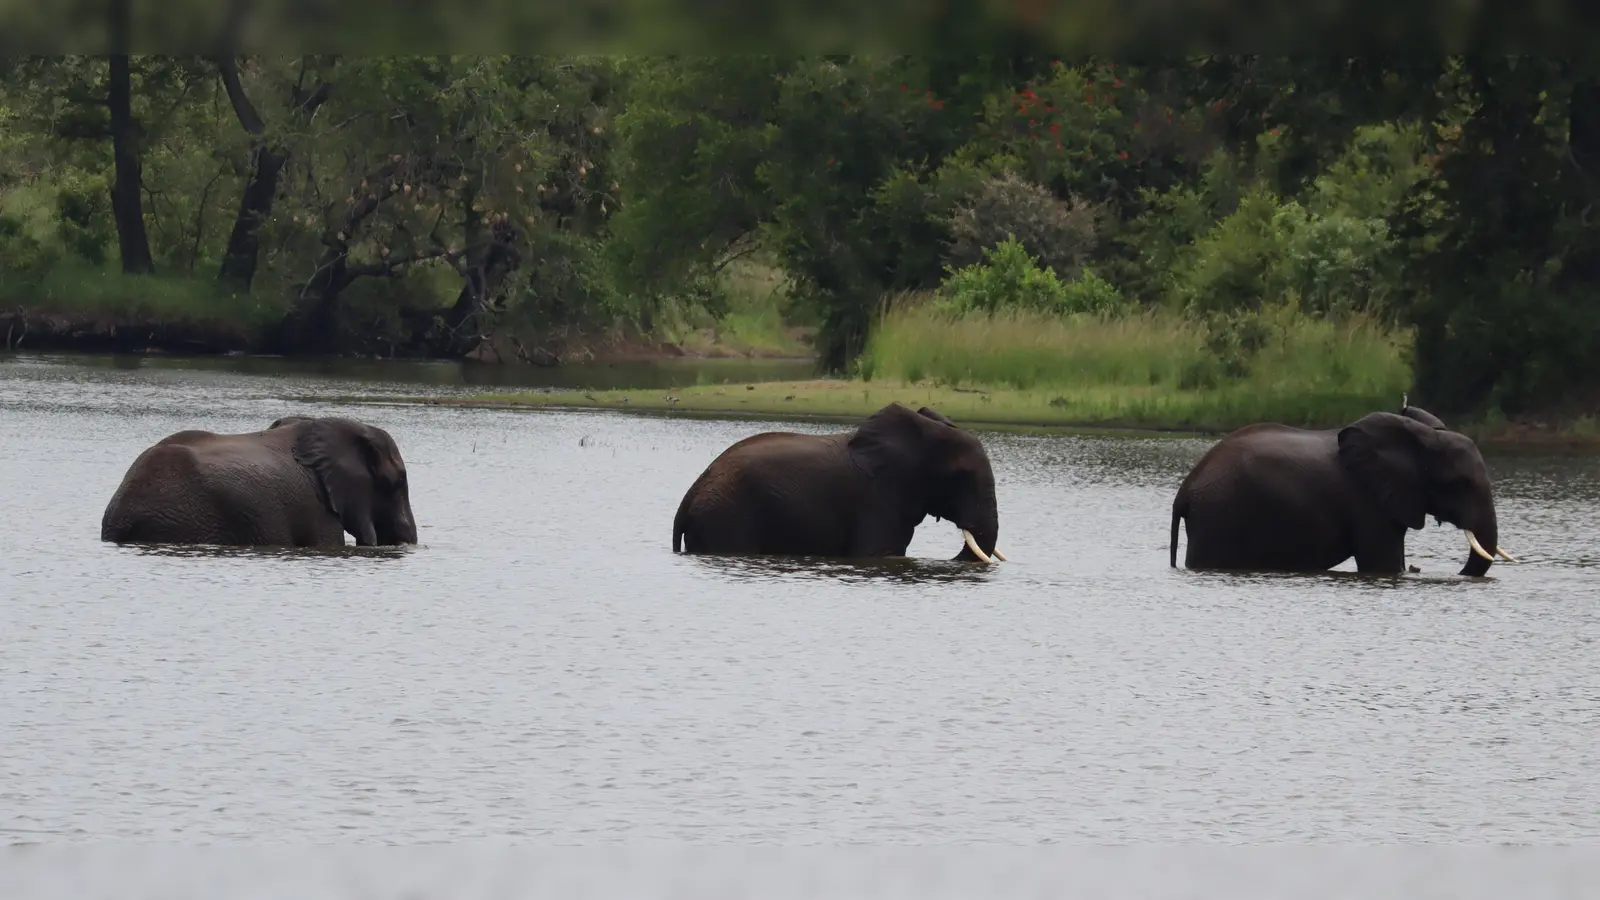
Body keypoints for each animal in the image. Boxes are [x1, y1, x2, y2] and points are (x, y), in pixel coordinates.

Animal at [1164, 400, 1510, 573]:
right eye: (1460, 483)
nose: (1419, 569)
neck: (1419, 437)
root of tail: (1185, 490)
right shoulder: (1367, 502)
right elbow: (1382, 565)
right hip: (1218, 515)